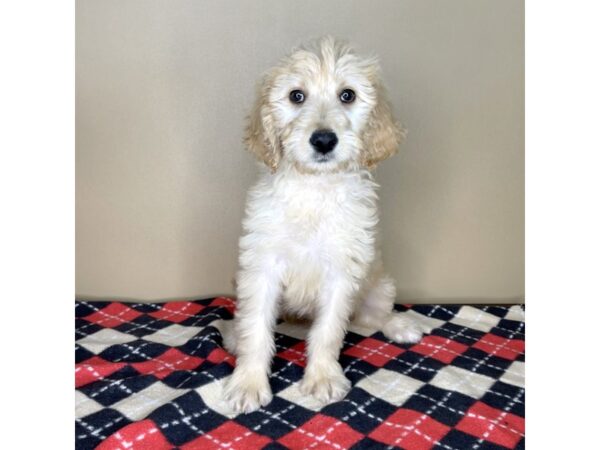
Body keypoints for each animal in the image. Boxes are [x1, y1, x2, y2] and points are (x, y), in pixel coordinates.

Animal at [224, 37, 422, 414]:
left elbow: (329, 331)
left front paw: (322, 377)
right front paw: (249, 382)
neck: (315, 189)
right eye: (296, 96)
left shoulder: (342, 272)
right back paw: (232, 335)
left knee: (372, 319)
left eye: (347, 95)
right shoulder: (262, 266)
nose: (324, 140)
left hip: (379, 285)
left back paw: (400, 325)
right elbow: (256, 328)